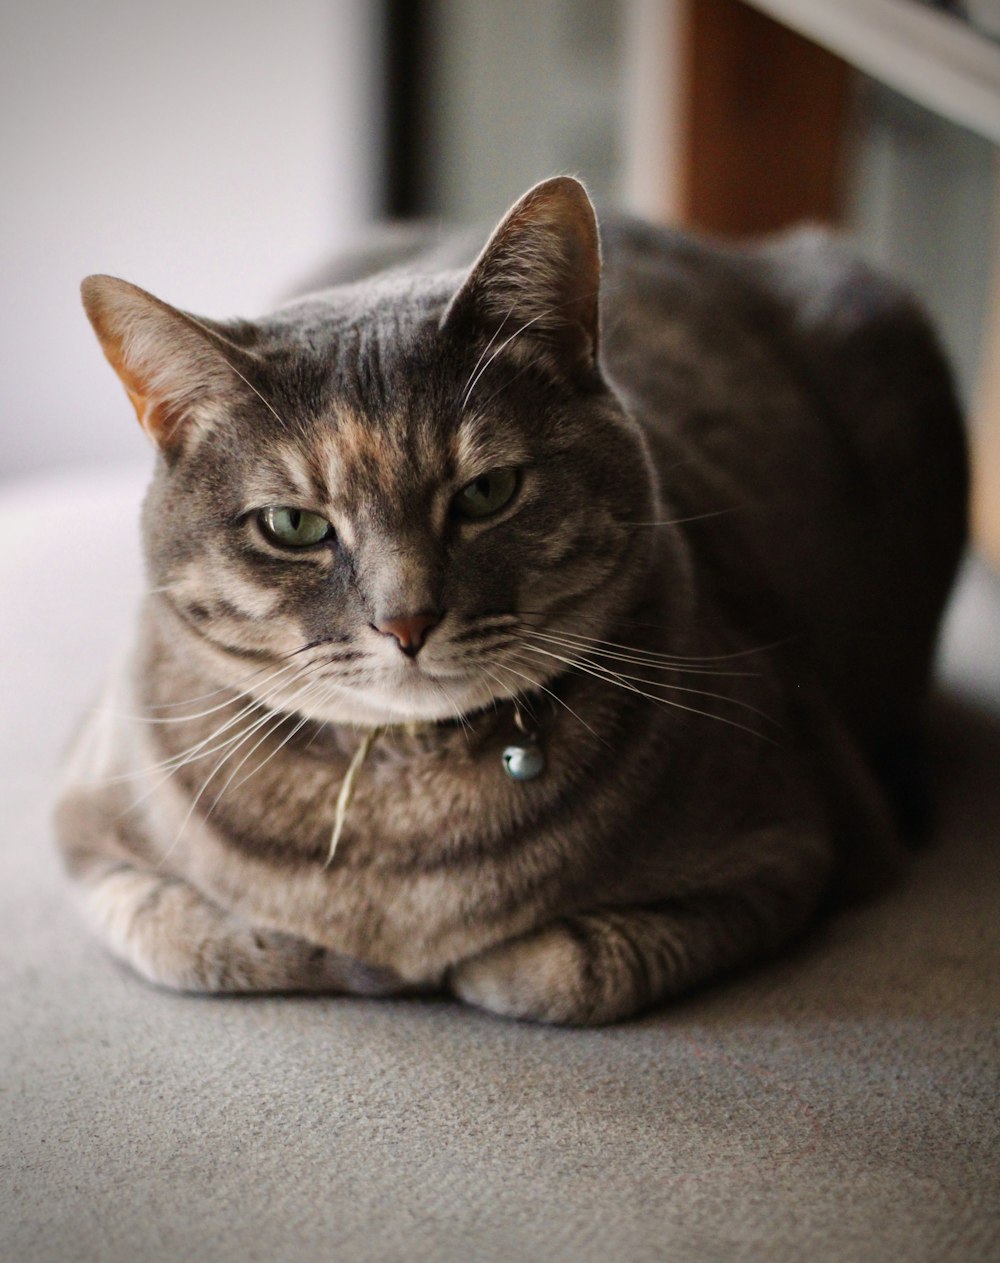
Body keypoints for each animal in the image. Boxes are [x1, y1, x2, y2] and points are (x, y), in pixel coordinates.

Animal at [54, 178, 969, 1025]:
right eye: (294, 525)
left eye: (488, 492)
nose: (407, 620)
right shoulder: (84, 822)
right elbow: (198, 938)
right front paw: (350, 955)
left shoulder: (795, 841)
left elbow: (571, 970)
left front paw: (469, 963)